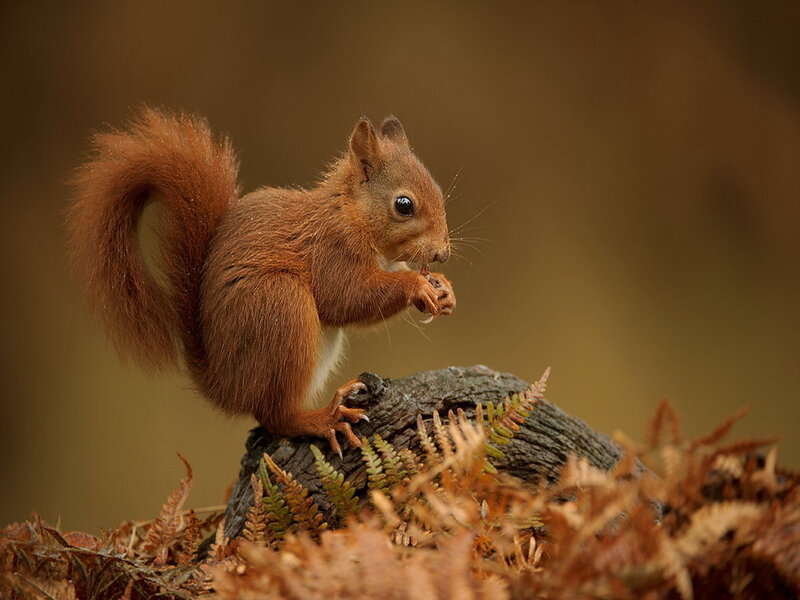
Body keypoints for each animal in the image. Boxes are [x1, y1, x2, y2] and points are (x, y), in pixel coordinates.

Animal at [68, 109, 455, 456]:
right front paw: (416, 286)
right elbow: (346, 298)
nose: (443, 252)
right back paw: (322, 418)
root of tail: (226, 384)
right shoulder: (330, 251)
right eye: (403, 205)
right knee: (276, 416)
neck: (351, 213)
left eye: (439, 192)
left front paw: (442, 287)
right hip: (281, 306)